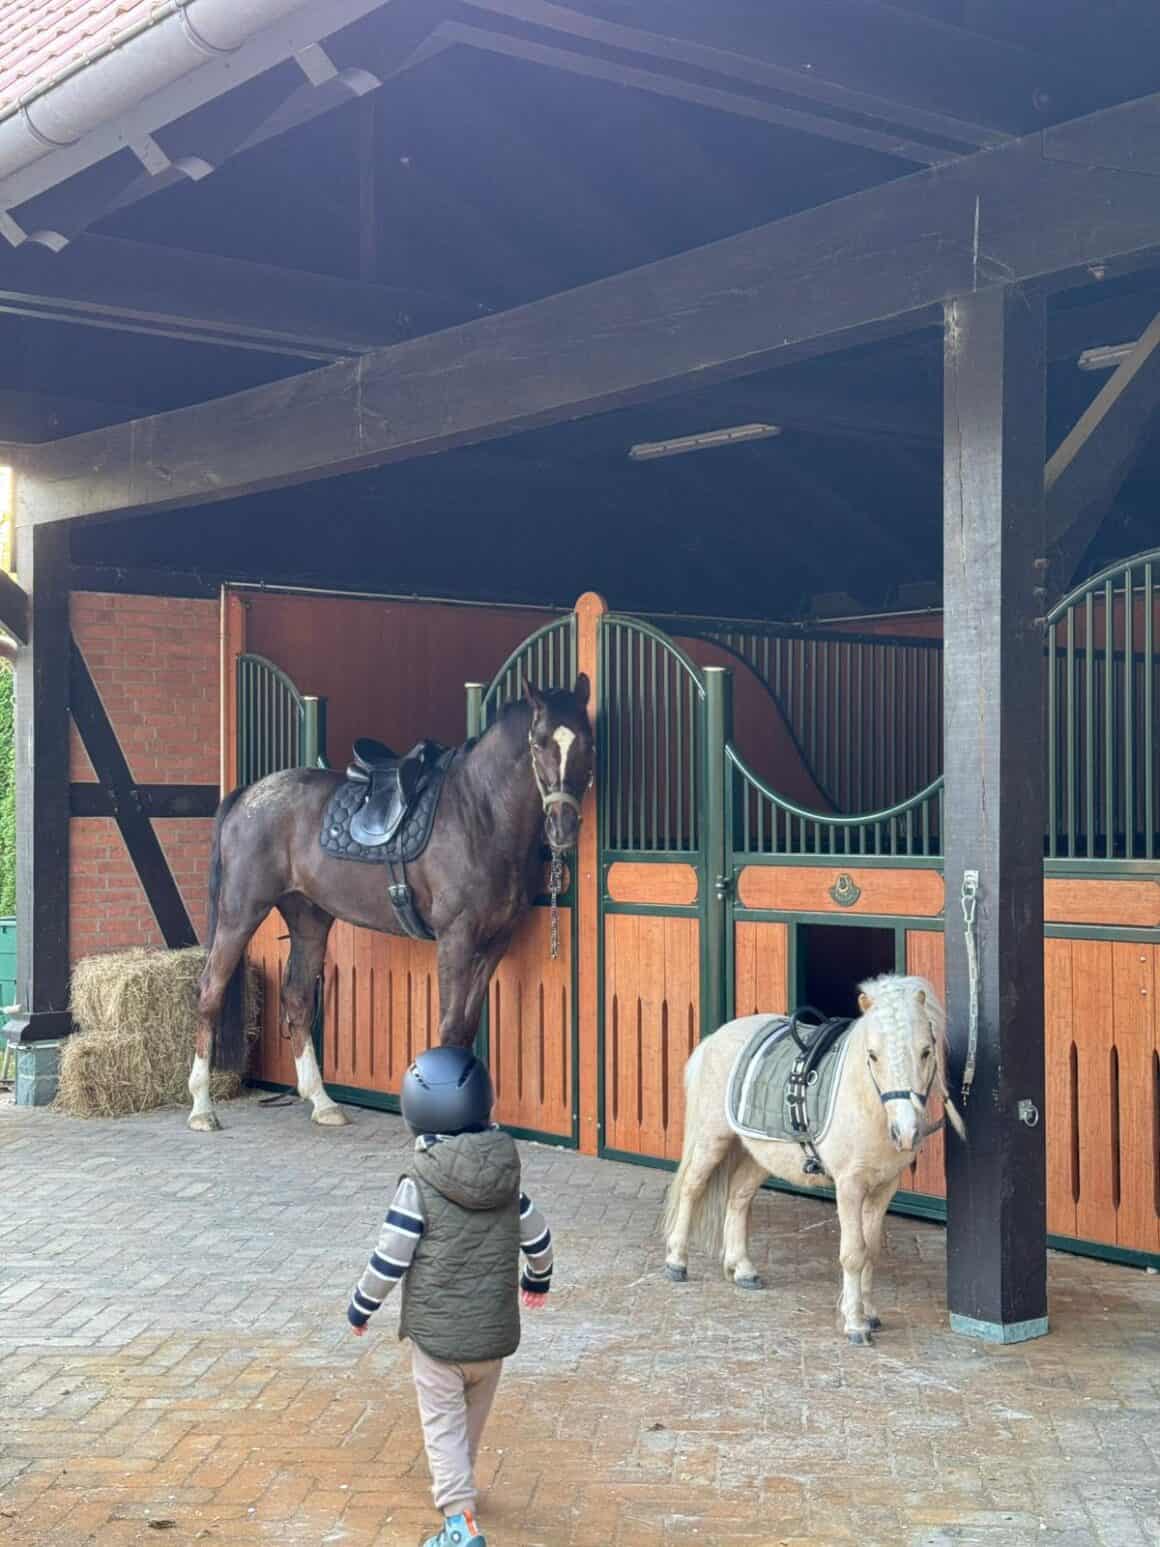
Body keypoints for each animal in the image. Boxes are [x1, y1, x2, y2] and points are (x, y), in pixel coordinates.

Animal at [188, 678, 594, 1132]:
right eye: (539, 742)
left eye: (587, 742)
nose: (563, 827)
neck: (480, 813)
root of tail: (247, 794)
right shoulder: (456, 937)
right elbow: (450, 1025)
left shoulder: (494, 942)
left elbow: (467, 1025)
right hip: (241, 912)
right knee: (210, 992)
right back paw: (202, 1109)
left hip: (308, 918)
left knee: (297, 999)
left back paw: (323, 1103)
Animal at [662, 974, 966, 1344]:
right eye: (873, 1055)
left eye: (925, 1051)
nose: (906, 1132)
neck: (865, 1100)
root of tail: (713, 1039)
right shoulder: (849, 1187)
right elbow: (853, 1253)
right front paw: (855, 1324)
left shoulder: (883, 1189)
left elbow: (871, 1250)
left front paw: (869, 1314)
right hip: (712, 1139)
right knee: (692, 1188)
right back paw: (677, 1261)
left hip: (759, 1154)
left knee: (738, 1196)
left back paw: (743, 1269)